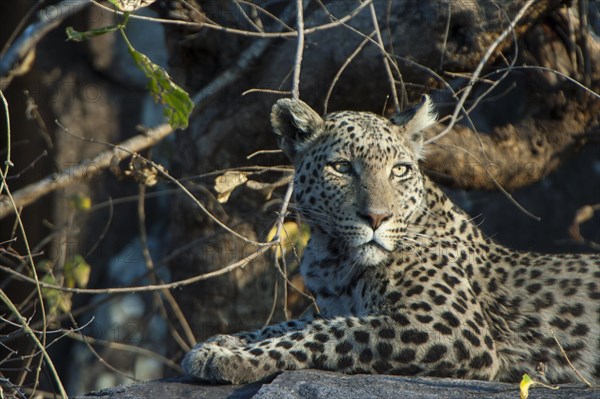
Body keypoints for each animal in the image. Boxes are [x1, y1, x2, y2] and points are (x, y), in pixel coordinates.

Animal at [183, 95, 600, 386]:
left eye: (399, 170)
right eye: (341, 167)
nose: (377, 218)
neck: (335, 258)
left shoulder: (449, 327)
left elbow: (326, 332)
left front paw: (234, 359)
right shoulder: (332, 304)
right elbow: (286, 324)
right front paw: (217, 343)